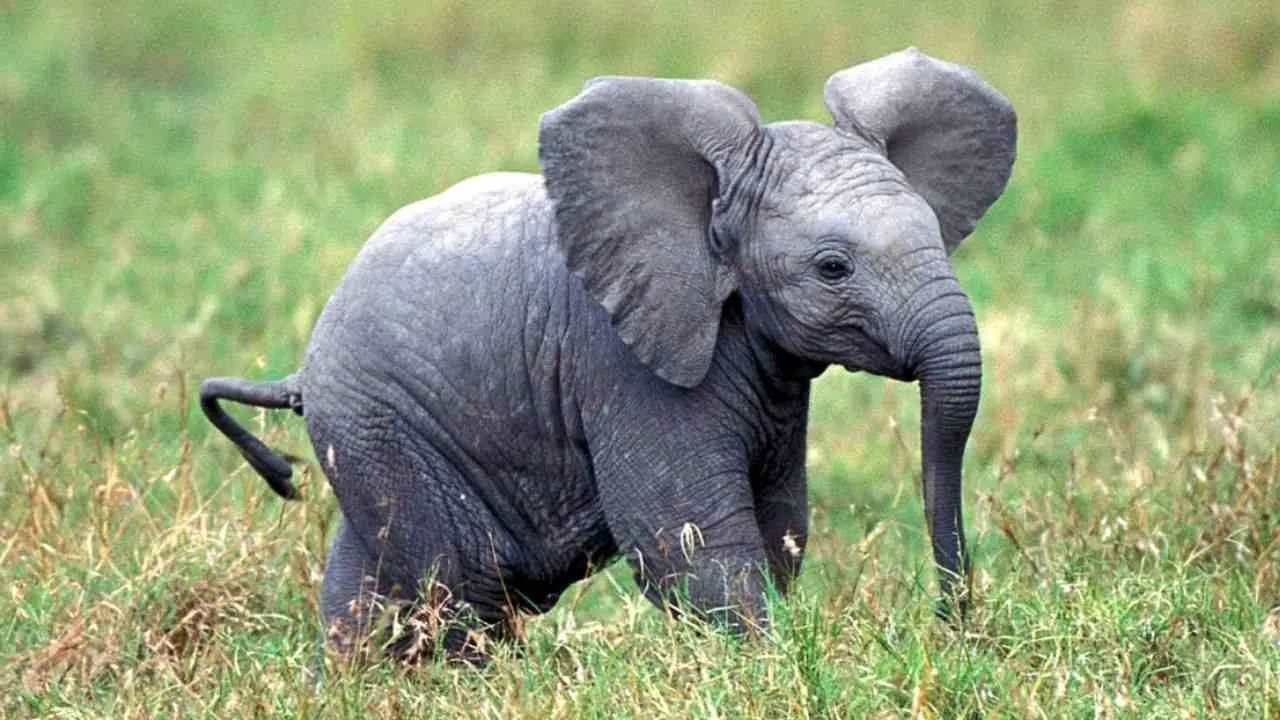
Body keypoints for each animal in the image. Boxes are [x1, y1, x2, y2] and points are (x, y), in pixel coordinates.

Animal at [200, 48, 1016, 660]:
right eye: (833, 268)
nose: (950, 626)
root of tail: (304, 371)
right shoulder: (621, 365)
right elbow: (689, 540)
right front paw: (767, 667)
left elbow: (781, 522)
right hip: (384, 426)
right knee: (455, 582)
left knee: (376, 585)